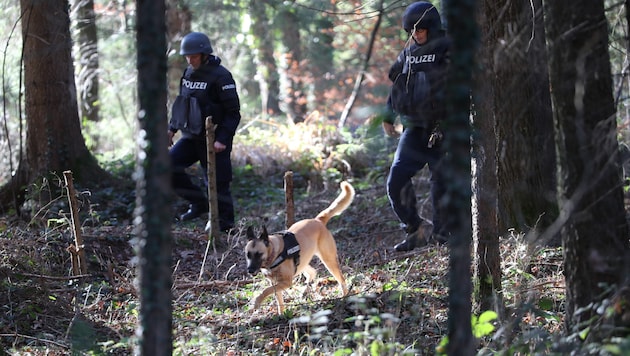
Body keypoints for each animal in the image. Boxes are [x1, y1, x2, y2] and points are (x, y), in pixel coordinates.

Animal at [246, 182, 356, 312]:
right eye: (248, 255)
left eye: (259, 254)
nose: (250, 270)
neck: (274, 253)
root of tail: (317, 220)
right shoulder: (275, 283)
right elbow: (278, 300)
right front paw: (281, 314)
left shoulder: (286, 282)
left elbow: (265, 291)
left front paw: (256, 302)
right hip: (303, 261)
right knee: (312, 272)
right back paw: (305, 292)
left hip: (329, 261)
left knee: (341, 280)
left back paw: (344, 296)